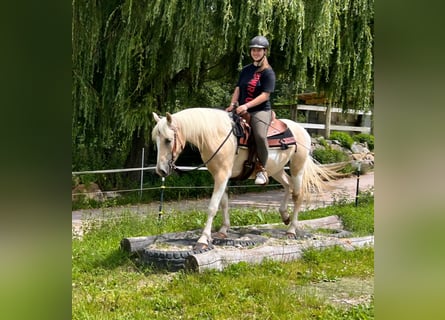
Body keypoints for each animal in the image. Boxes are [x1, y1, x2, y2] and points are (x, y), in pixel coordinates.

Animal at [153, 107, 336, 250]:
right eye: (156, 141)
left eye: (168, 140)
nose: (161, 170)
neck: (217, 134)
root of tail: (302, 129)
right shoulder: (220, 175)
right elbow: (224, 203)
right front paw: (223, 231)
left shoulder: (222, 175)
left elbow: (212, 207)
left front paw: (203, 240)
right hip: (276, 169)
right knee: (287, 185)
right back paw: (284, 215)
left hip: (298, 167)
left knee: (297, 195)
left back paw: (291, 230)